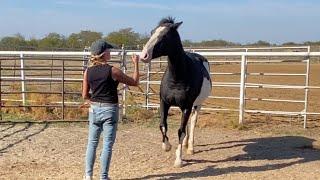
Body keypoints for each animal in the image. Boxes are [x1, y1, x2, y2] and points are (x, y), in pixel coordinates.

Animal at [140, 17, 212, 167]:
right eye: (152, 32)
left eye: (165, 36)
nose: (143, 56)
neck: (177, 78)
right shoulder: (164, 103)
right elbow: (163, 125)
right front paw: (166, 146)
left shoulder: (186, 107)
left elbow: (181, 131)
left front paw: (179, 159)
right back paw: (185, 145)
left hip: (197, 105)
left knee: (192, 123)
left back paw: (190, 148)